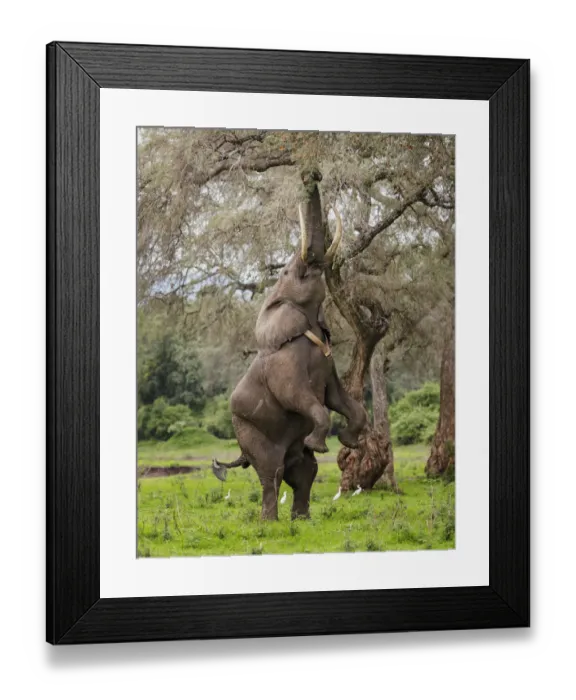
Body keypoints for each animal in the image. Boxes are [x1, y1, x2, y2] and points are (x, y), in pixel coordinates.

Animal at [212, 173, 367, 520]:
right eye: (285, 271)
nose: (312, 174)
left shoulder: (329, 362)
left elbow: (339, 399)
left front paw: (349, 441)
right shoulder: (283, 364)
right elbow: (299, 398)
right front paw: (322, 443)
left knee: (304, 471)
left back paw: (302, 520)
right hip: (249, 429)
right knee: (273, 472)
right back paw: (269, 523)